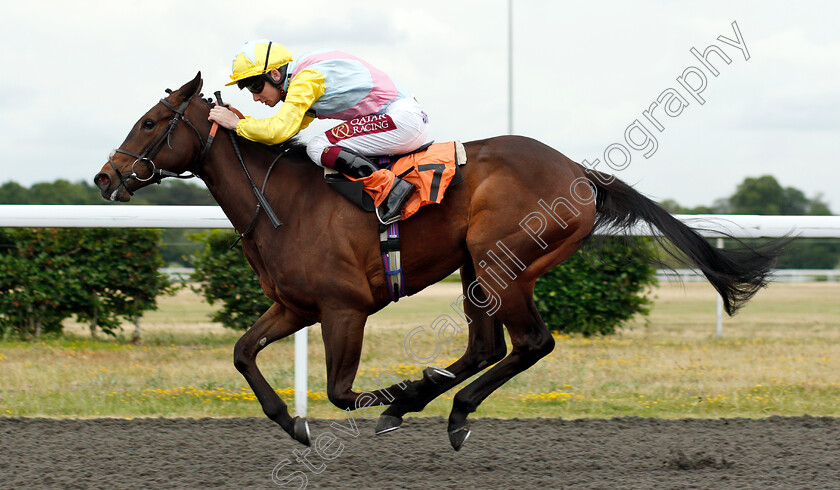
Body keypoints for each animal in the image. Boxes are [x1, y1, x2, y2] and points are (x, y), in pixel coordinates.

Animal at [93, 71, 780, 450]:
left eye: (151, 121)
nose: (105, 177)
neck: (282, 202)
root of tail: (581, 173)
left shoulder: (345, 309)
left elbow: (342, 391)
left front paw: (397, 393)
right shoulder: (295, 306)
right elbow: (242, 354)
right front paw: (293, 424)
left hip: (503, 261)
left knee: (530, 343)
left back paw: (441, 406)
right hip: (477, 266)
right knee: (486, 346)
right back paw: (436, 402)